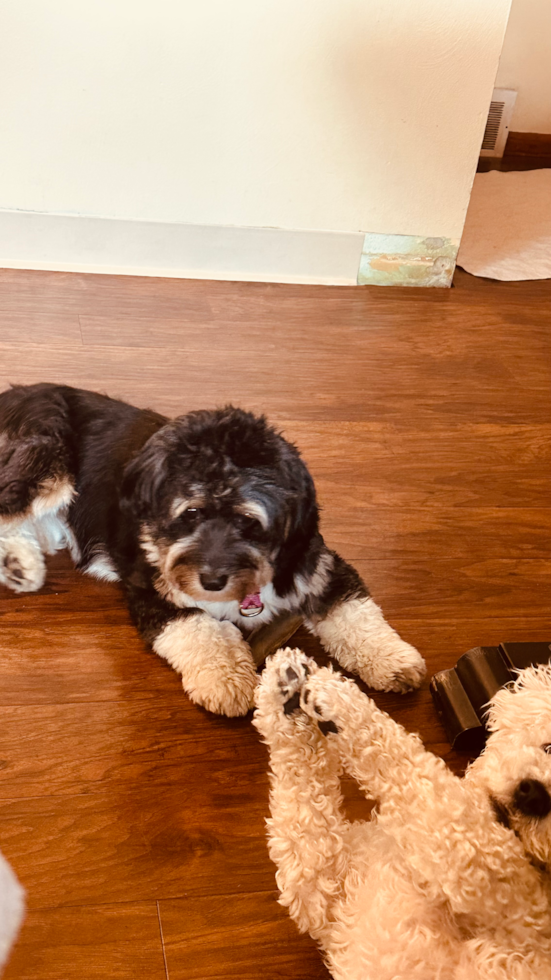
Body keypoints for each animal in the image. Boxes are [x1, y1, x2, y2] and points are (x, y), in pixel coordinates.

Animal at [0, 386, 426, 716]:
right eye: (191, 513)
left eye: (249, 521)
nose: (212, 580)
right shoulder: (153, 588)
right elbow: (199, 627)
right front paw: (227, 679)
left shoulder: (318, 568)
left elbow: (354, 613)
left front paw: (393, 659)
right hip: (47, 457)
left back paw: (20, 565)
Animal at [256, 652, 551, 980]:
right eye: (549, 746)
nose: (535, 795)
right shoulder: (323, 887)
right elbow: (300, 799)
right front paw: (284, 684)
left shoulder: (483, 868)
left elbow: (401, 760)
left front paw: (335, 697)